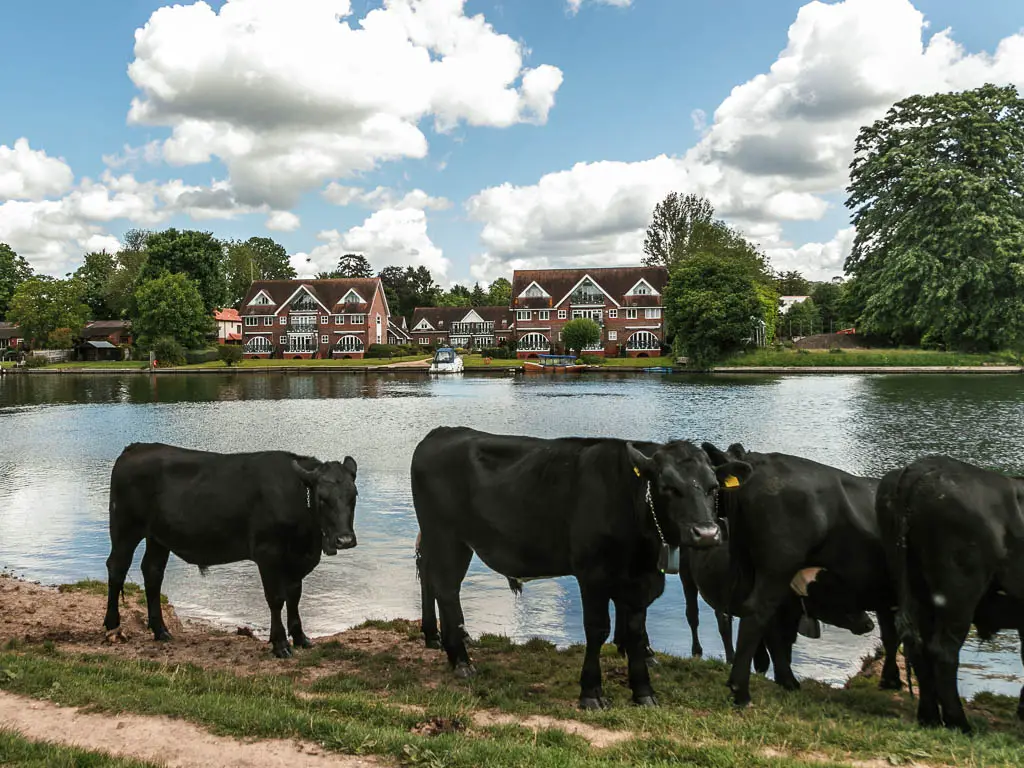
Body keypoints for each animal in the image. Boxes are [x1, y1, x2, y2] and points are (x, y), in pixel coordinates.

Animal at [102, 448, 360, 659]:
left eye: (353, 495)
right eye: (322, 498)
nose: (344, 540)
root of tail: (136, 448)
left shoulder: (297, 559)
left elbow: (295, 596)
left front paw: (301, 638)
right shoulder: (268, 554)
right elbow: (276, 598)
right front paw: (280, 645)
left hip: (158, 537)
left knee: (153, 573)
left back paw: (161, 631)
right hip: (125, 528)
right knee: (117, 567)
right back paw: (112, 624)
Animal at [411, 428, 757, 708]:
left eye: (713, 488)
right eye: (667, 486)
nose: (707, 533)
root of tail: (441, 433)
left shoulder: (640, 581)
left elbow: (635, 631)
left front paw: (644, 692)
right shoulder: (592, 574)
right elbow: (597, 629)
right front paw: (591, 693)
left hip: (456, 541)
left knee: (441, 584)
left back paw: (446, 643)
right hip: (443, 534)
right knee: (445, 587)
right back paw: (460, 660)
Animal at [876, 456, 1024, 733]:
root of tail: (922, 467)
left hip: (916, 588)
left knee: (917, 646)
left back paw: (929, 717)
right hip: (958, 594)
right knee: (943, 652)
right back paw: (959, 723)